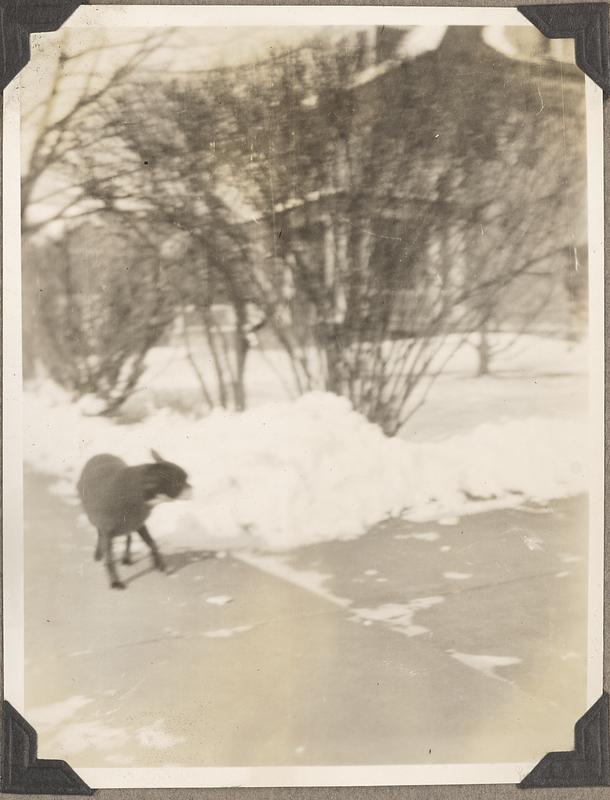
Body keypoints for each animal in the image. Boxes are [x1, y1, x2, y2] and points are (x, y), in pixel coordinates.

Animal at [76, 450, 190, 588]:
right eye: (179, 482)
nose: (192, 489)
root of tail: (101, 454)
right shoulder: (107, 531)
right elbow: (110, 559)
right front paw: (115, 582)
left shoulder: (139, 524)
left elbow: (152, 544)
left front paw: (161, 566)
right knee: (102, 537)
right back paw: (99, 555)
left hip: (129, 525)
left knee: (128, 538)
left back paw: (126, 558)